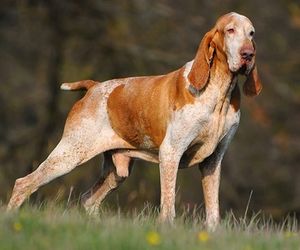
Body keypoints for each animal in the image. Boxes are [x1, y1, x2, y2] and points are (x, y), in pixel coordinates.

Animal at [6, 11, 260, 230]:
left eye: (251, 33)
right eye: (230, 30)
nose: (248, 54)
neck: (220, 92)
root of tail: (94, 87)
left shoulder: (213, 161)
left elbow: (213, 210)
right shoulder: (171, 153)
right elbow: (168, 205)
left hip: (117, 172)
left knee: (88, 199)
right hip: (69, 155)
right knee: (24, 183)